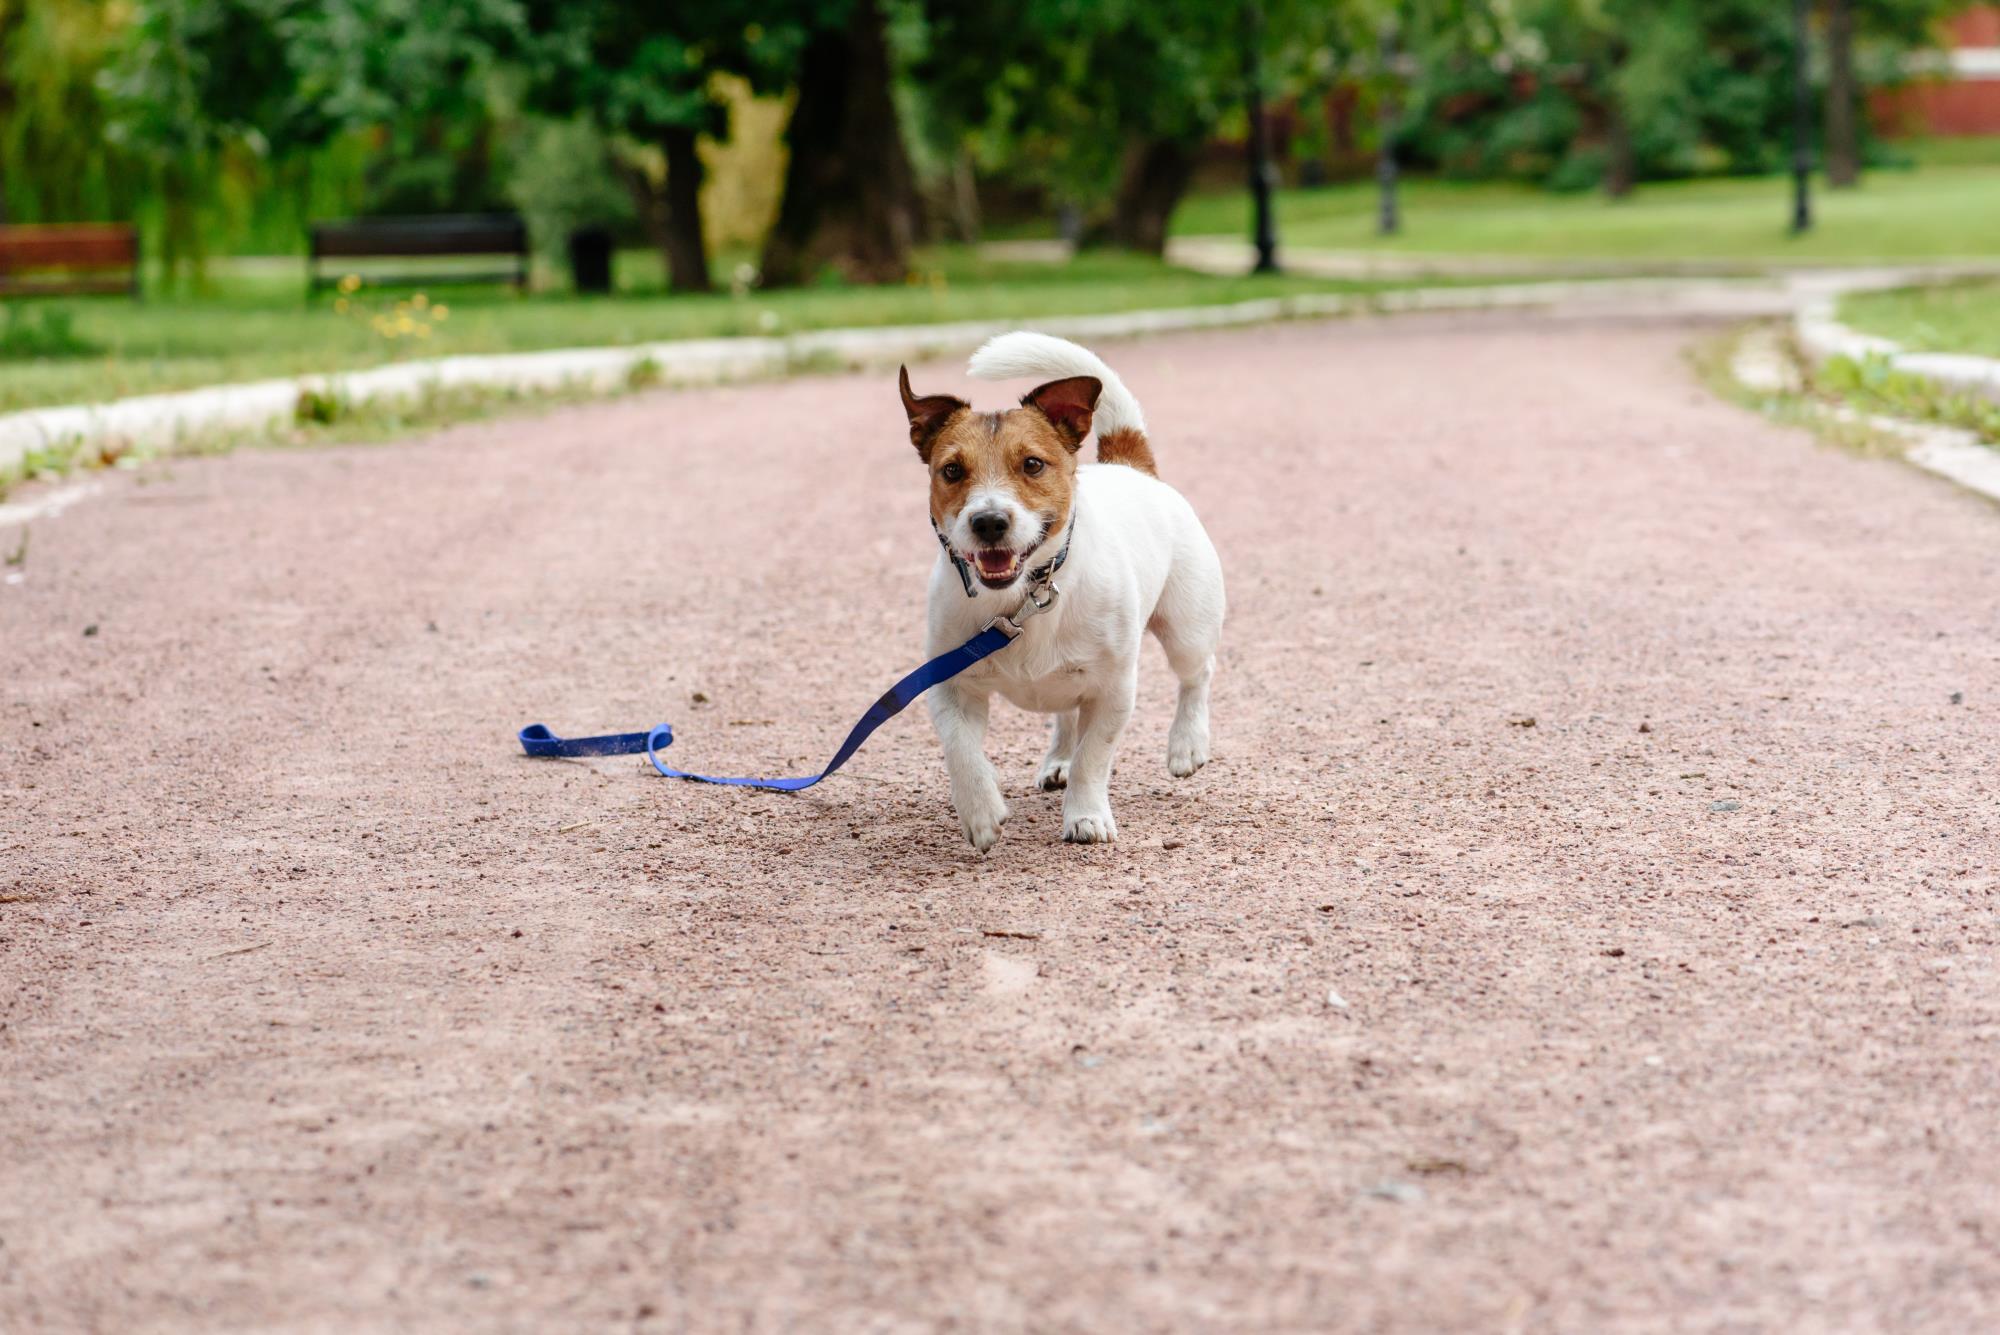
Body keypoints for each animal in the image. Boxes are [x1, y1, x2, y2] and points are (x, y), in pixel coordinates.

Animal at [904, 339, 1216, 851]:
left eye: (1032, 464)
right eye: (951, 470)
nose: (989, 521)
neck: (1022, 601)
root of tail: (1129, 465)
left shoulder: (1114, 690)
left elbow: (1095, 756)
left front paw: (1086, 815)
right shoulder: (950, 685)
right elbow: (960, 749)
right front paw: (981, 810)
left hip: (1187, 628)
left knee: (1197, 676)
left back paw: (1187, 743)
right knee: (1068, 715)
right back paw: (1059, 760)